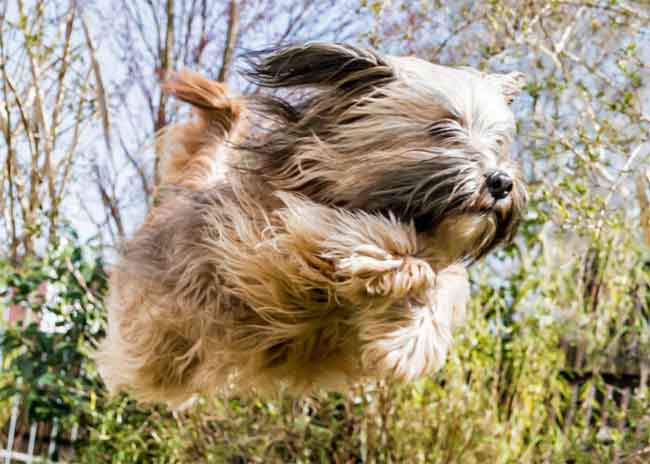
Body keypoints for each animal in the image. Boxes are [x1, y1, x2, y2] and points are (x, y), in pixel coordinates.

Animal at [96, 43, 524, 406]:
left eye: (498, 142)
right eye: (442, 129)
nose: (501, 182)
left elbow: (445, 284)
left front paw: (411, 341)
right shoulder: (269, 239)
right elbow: (347, 232)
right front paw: (396, 268)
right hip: (153, 341)